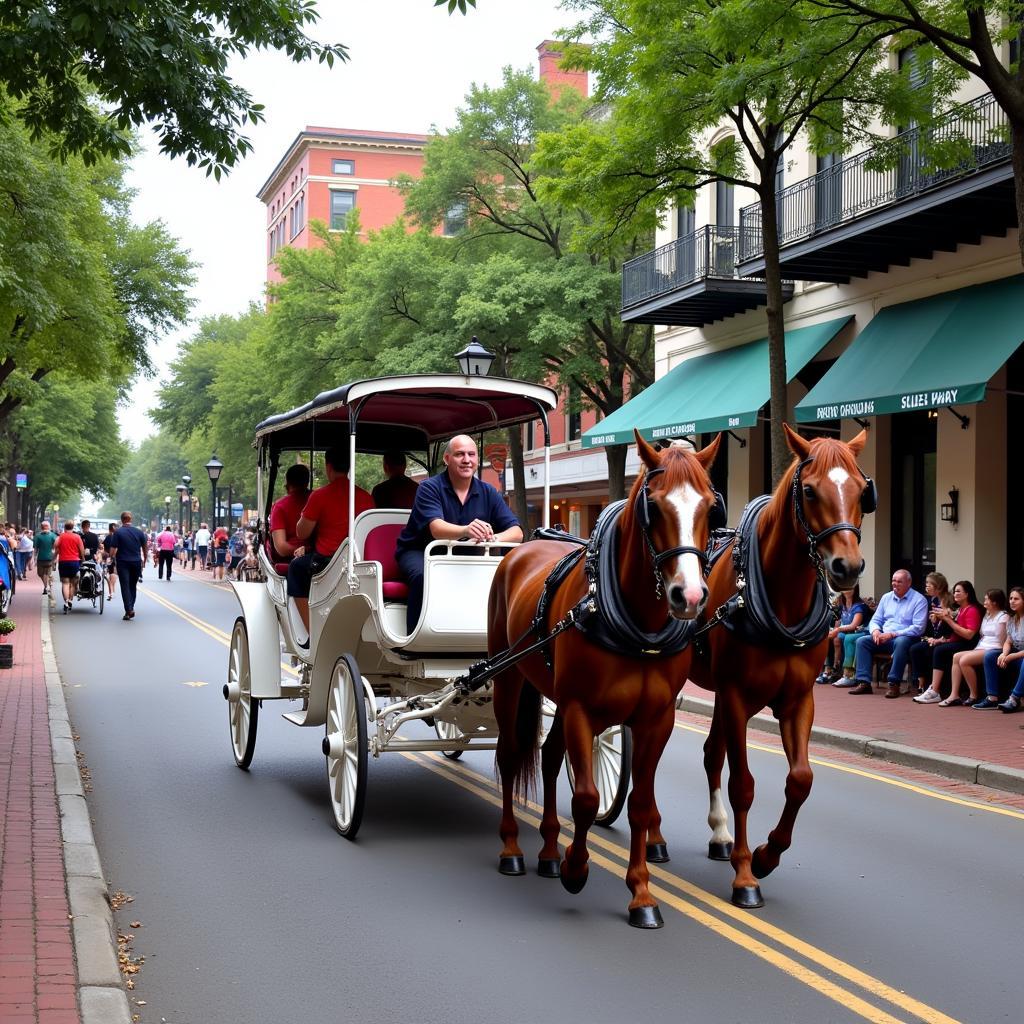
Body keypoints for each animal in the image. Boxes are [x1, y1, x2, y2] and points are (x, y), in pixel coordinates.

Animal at [487, 432, 720, 929]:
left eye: (710, 507)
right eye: (654, 505)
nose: (689, 596)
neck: (638, 624)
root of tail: (522, 547)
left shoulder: (656, 719)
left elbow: (640, 803)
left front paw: (642, 894)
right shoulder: (580, 709)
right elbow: (588, 797)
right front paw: (577, 869)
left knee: (549, 758)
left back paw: (549, 850)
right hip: (509, 676)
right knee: (511, 755)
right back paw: (513, 847)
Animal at [692, 419, 868, 909]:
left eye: (863, 489)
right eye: (808, 490)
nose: (847, 567)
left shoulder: (797, 699)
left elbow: (801, 780)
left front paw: (767, 854)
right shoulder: (736, 695)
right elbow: (744, 784)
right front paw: (745, 876)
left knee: (711, 755)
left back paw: (719, 835)